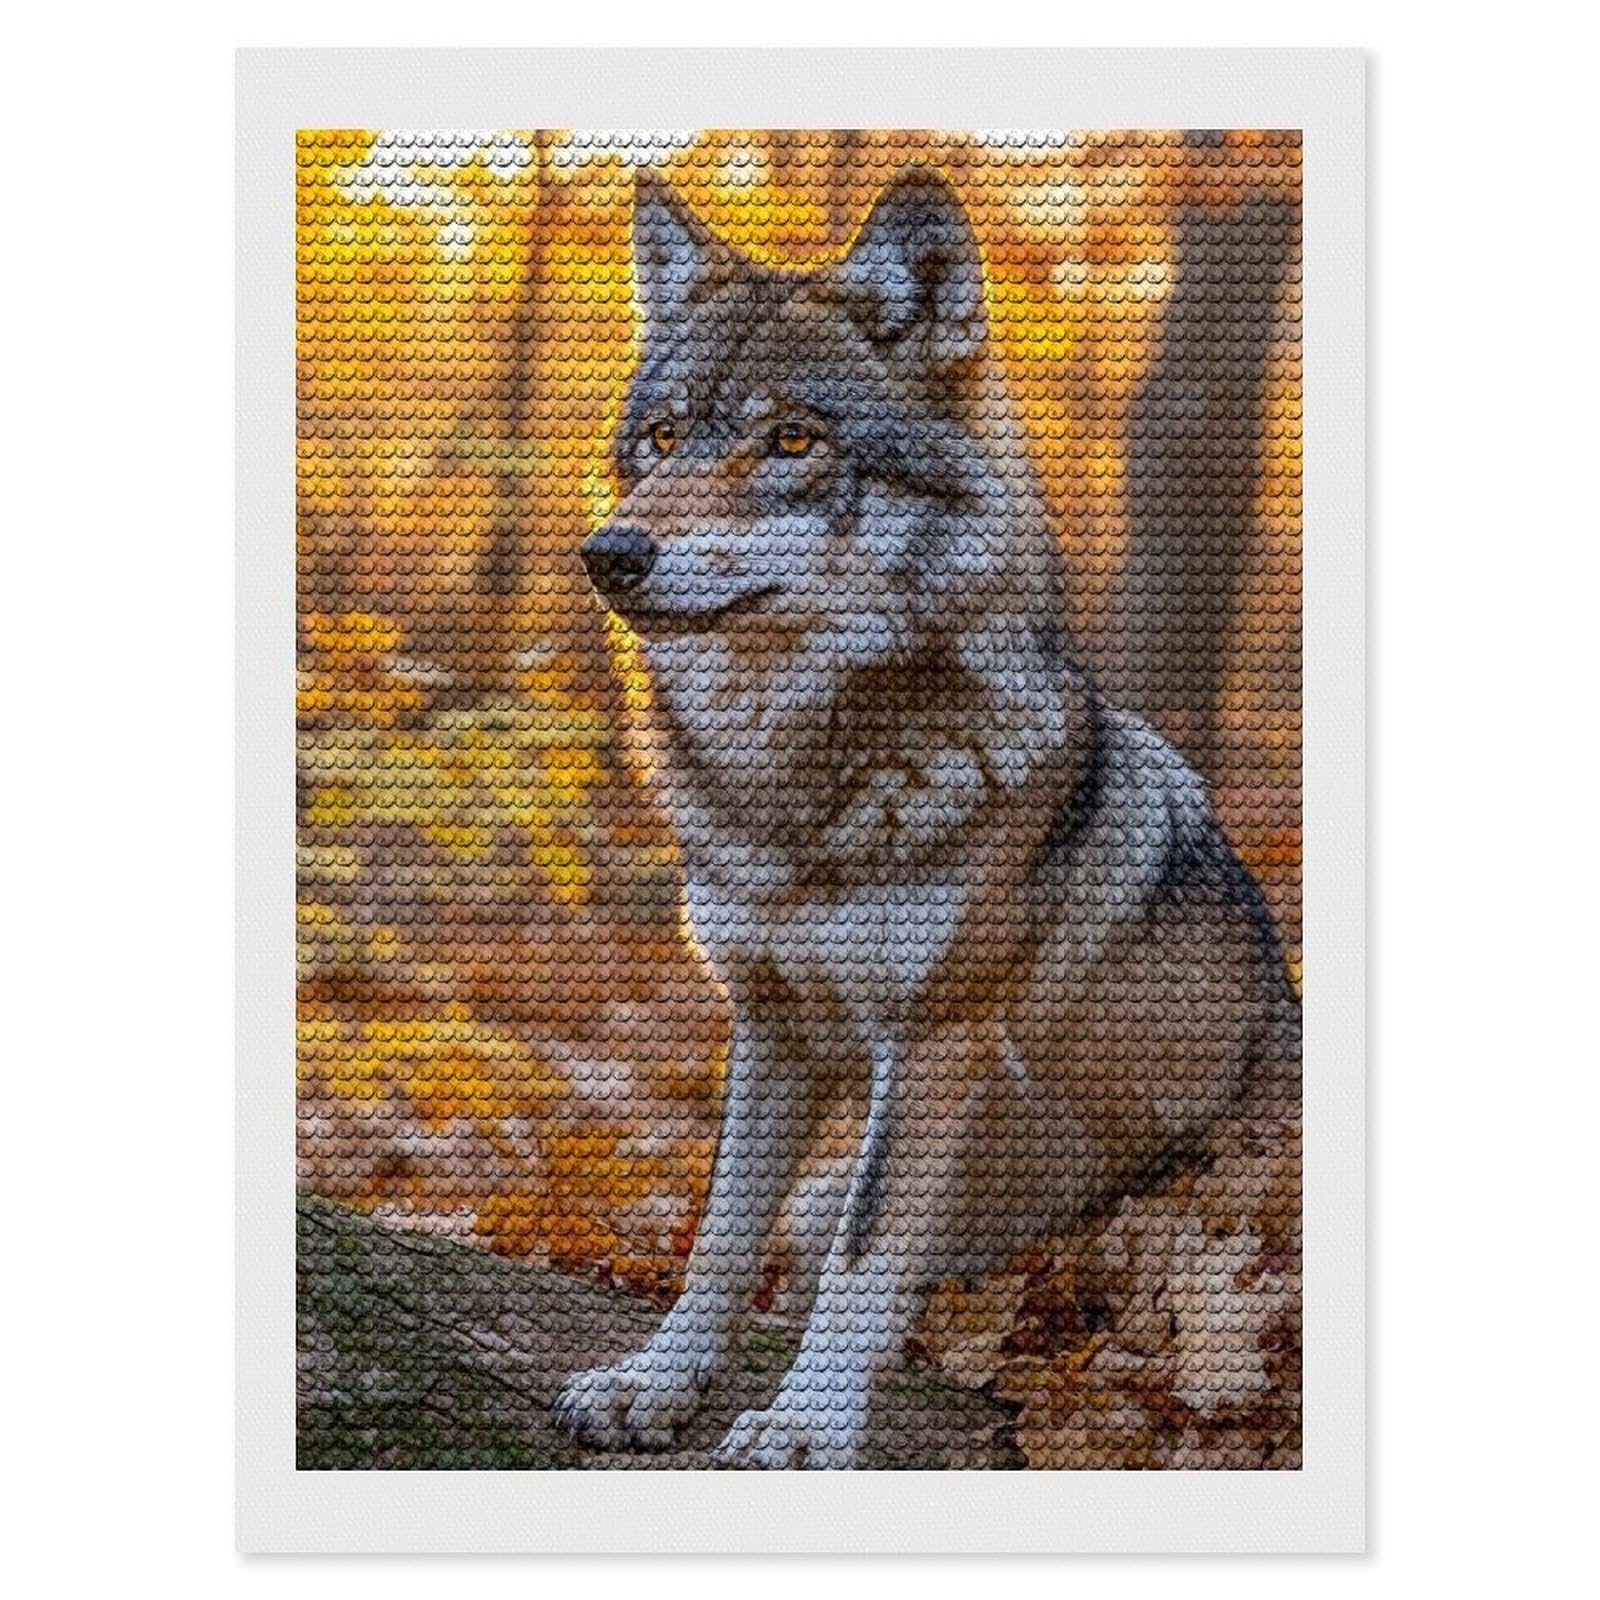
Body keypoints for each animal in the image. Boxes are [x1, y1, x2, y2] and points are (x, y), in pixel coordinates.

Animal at [553, 167, 1301, 1469]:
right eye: (661, 438)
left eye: (791, 439)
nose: (609, 551)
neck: (800, 796)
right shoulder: (771, 1024)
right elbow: (720, 1229)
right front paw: (659, 1380)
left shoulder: (936, 1037)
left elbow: (864, 1251)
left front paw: (805, 1422)